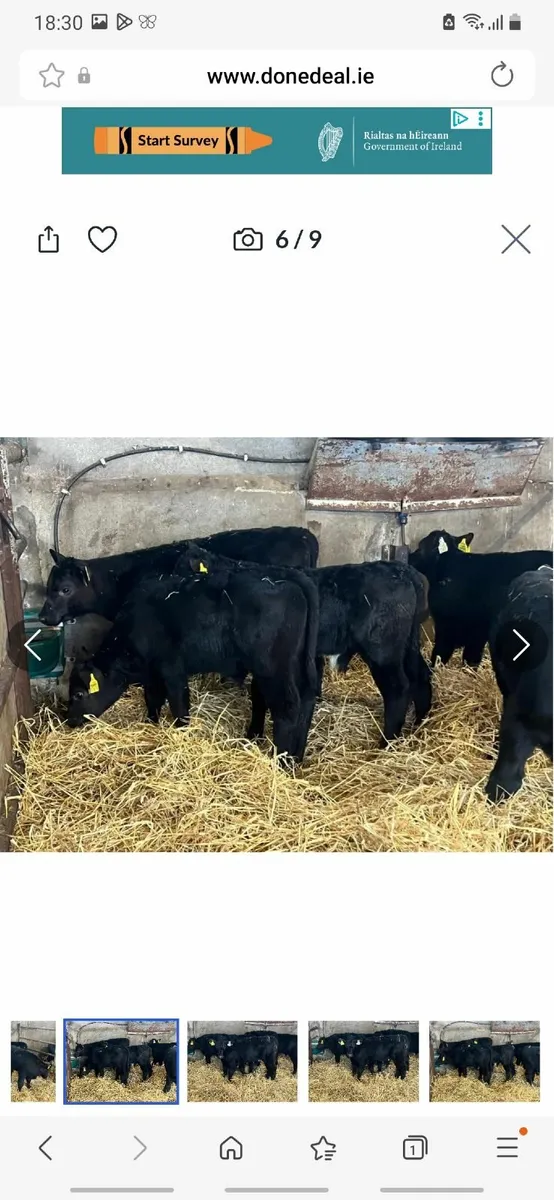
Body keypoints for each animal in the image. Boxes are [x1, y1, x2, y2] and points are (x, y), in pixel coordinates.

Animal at [67, 556, 319, 763]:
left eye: (78, 694)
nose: (69, 720)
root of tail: (285, 577)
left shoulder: (172, 669)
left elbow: (179, 706)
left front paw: (180, 734)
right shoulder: (153, 673)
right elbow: (152, 700)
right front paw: (151, 725)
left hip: (273, 668)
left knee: (287, 707)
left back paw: (281, 761)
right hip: (298, 663)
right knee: (306, 699)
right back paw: (295, 758)